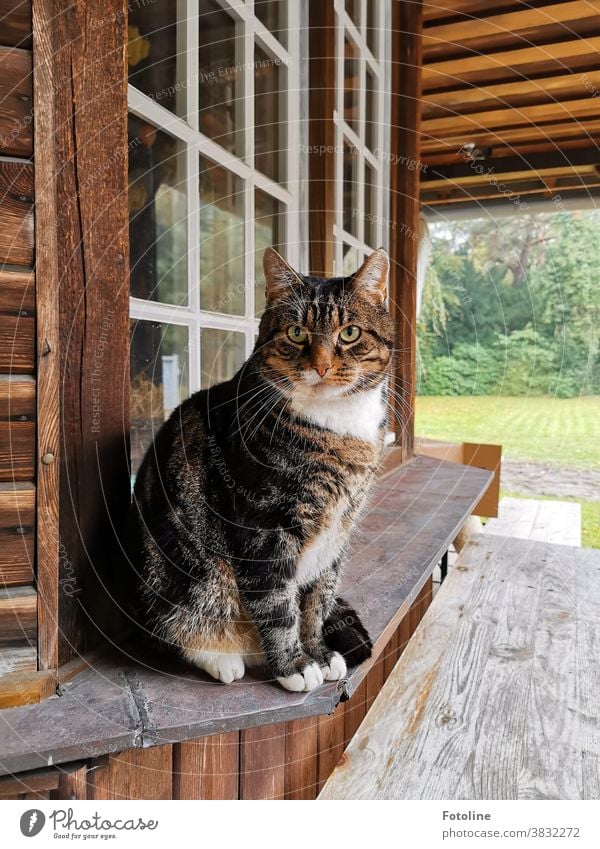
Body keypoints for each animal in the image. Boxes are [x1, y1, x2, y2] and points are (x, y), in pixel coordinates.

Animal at [127, 247, 394, 688]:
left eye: (350, 333)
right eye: (297, 333)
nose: (321, 366)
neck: (337, 426)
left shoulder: (338, 532)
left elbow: (317, 600)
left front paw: (319, 653)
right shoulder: (264, 526)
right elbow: (278, 603)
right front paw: (294, 666)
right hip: (185, 578)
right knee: (179, 623)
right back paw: (223, 658)